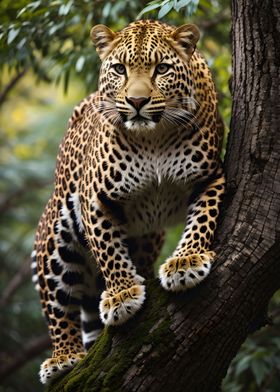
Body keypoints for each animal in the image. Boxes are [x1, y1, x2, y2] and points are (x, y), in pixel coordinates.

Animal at [31, 19, 225, 384]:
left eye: (161, 68)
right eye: (120, 69)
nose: (136, 101)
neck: (155, 138)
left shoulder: (210, 176)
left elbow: (202, 219)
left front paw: (186, 263)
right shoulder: (95, 199)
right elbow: (108, 250)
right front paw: (122, 294)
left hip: (148, 237)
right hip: (54, 235)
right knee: (57, 304)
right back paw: (63, 357)